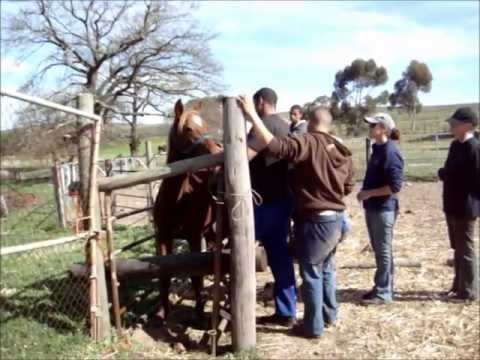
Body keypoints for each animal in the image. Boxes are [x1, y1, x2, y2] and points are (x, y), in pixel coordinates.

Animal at [152, 97, 223, 324]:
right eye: (189, 128)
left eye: (206, 126)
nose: (217, 150)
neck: (177, 199)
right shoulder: (163, 236)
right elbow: (164, 275)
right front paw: (163, 314)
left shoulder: (193, 237)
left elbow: (195, 275)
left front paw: (199, 313)